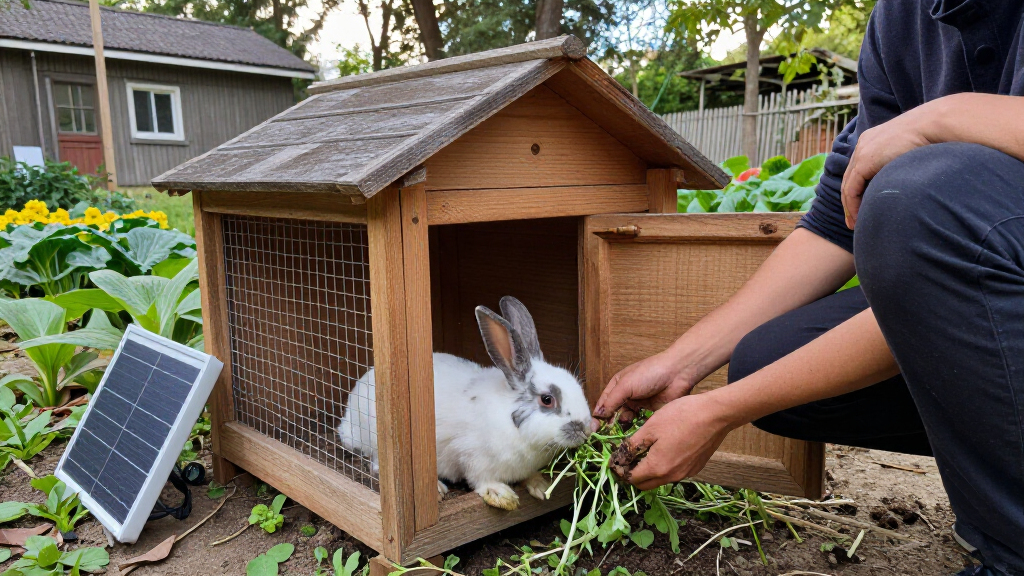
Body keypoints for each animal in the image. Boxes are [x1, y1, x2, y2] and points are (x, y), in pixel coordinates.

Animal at [336, 296, 592, 510]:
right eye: (547, 399)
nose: (587, 429)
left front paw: (540, 486)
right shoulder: (473, 458)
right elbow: (480, 480)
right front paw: (502, 496)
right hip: (378, 443)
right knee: (376, 465)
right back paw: (437, 489)